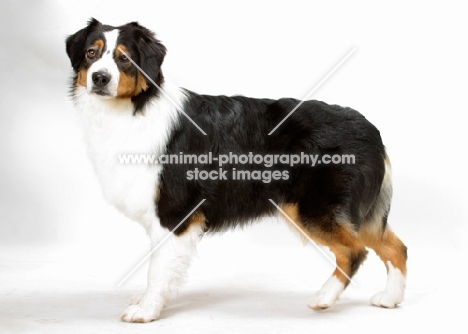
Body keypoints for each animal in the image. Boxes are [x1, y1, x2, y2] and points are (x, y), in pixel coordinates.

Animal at [65, 18, 406, 324]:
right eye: (91, 54)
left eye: (125, 58)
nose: (100, 78)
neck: (134, 107)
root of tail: (372, 131)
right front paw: (151, 300)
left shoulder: (174, 213)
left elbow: (158, 268)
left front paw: (147, 310)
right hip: (356, 212)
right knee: (395, 246)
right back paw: (390, 299)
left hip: (315, 209)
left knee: (355, 250)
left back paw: (324, 297)